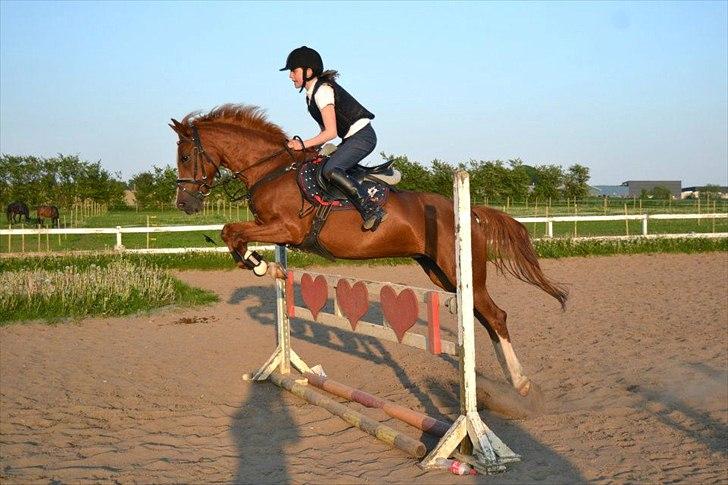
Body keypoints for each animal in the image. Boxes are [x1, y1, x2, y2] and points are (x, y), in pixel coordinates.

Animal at [169, 104, 567, 397]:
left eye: (186, 156)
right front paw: (268, 267)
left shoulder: (288, 228)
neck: (272, 170)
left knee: (496, 316)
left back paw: (520, 382)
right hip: (441, 274)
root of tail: (469, 212)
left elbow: (230, 232)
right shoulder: (274, 229)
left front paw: (263, 266)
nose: (184, 203)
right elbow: (232, 235)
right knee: (482, 317)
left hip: (460, 272)